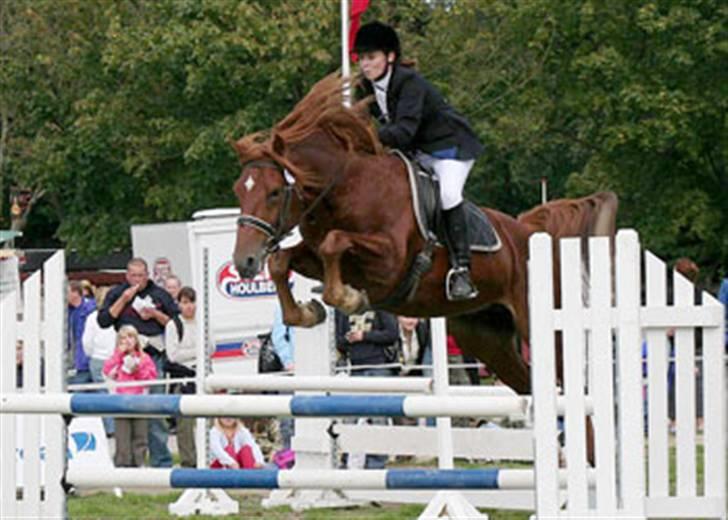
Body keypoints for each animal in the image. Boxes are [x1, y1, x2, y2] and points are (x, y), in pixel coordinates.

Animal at [230, 76, 616, 394]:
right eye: (239, 190)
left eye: (274, 193)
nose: (245, 262)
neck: (346, 189)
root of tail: (533, 234)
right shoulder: (316, 256)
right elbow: (284, 261)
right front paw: (309, 312)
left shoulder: (390, 261)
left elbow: (334, 242)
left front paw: (349, 299)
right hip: (485, 336)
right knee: (531, 385)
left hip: (544, 327)